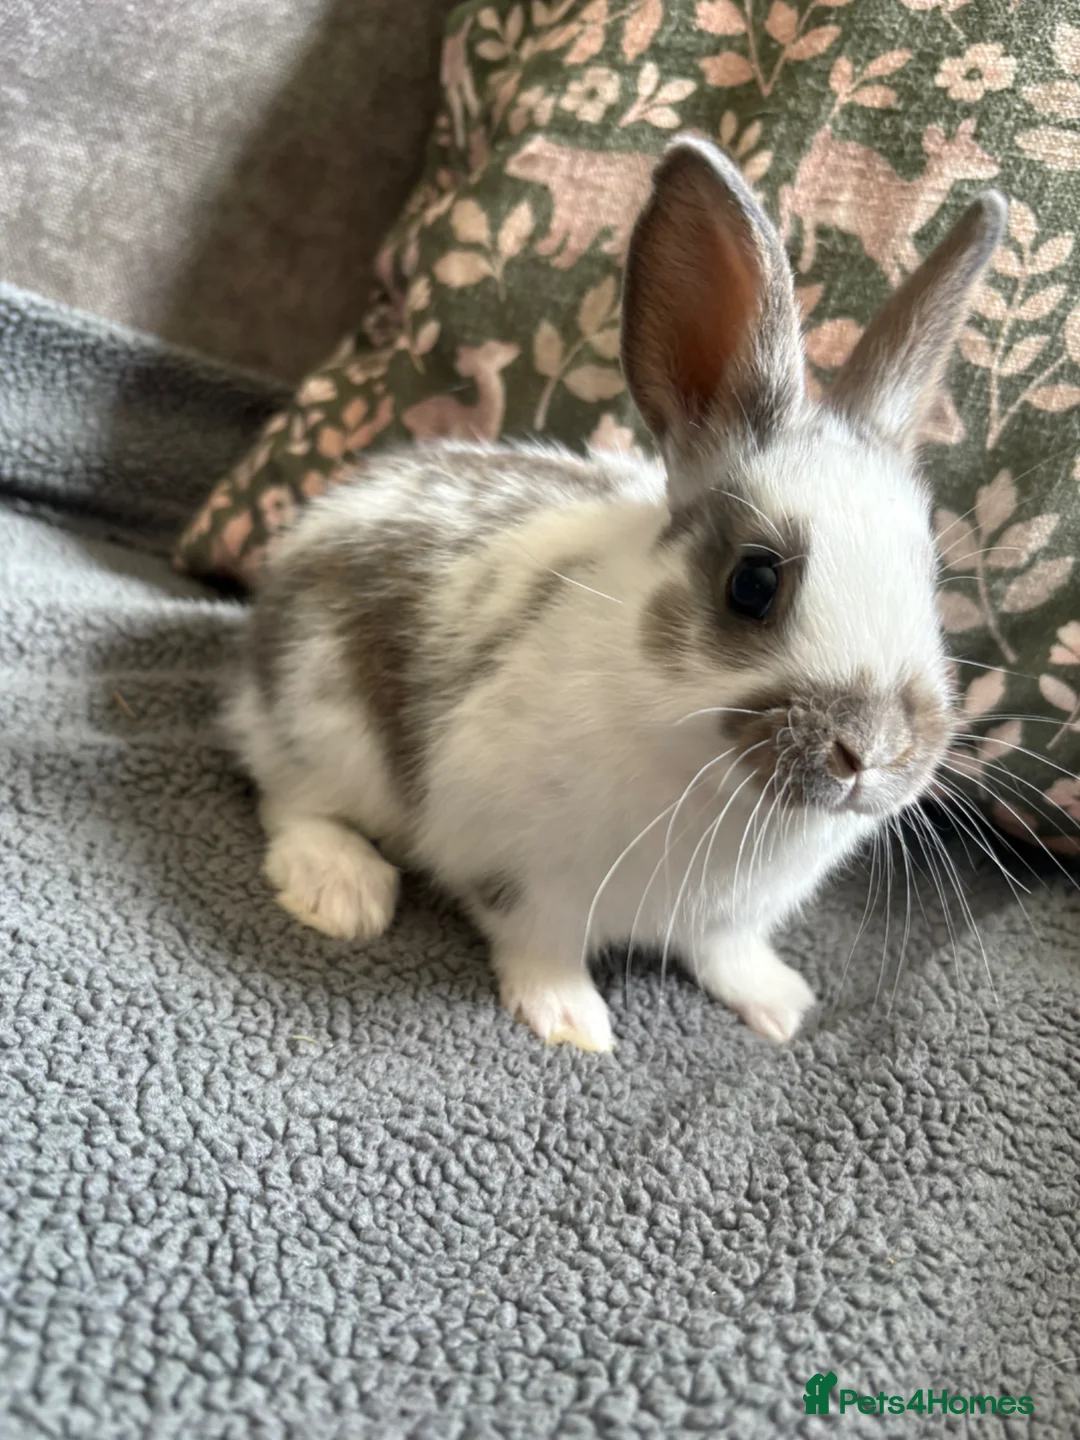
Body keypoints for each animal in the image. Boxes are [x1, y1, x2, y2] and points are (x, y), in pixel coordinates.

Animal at [225, 136, 1006, 1054]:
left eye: (932, 583)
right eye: (753, 582)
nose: (871, 752)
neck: (710, 779)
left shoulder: (729, 919)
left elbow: (728, 952)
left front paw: (782, 1005)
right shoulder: (517, 870)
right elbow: (540, 944)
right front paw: (571, 1022)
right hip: (323, 717)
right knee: (287, 795)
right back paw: (342, 891)